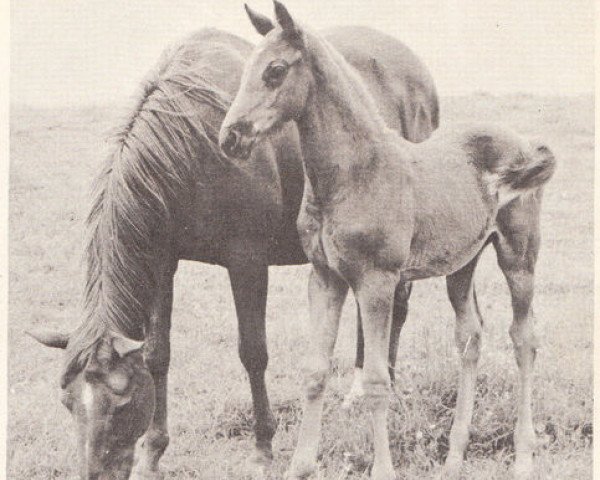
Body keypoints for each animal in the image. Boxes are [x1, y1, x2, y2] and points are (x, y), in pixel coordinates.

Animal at [27, 18, 436, 480]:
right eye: (68, 403)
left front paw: (262, 447)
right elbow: (158, 354)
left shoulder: (247, 262)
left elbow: (253, 353)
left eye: (122, 401)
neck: (192, 145)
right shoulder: (162, 260)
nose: (94, 473)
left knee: (395, 309)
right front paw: (155, 450)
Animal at [218, 1, 556, 478]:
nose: (230, 136)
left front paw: (382, 469)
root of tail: (525, 143)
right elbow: (315, 371)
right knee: (470, 337)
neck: (355, 175)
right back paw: (454, 456)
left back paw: (524, 454)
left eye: (276, 70)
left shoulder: (376, 281)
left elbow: (376, 381)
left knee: (524, 338)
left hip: (518, 255)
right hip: (463, 262)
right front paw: (299, 466)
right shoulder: (325, 277)